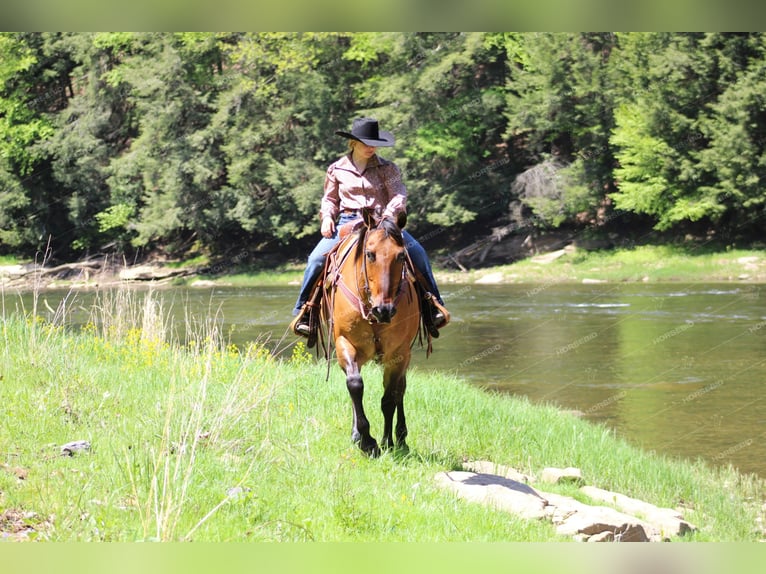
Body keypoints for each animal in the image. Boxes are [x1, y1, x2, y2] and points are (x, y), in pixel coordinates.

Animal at [320, 212, 424, 460]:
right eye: (369, 254)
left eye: (401, 256)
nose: (384, 310)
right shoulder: (344, 343)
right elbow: (355, 385)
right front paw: (365, 440)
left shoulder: (398, 353)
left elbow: (389, 398)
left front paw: (386, 441)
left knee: (399, 390)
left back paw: (401, 438)